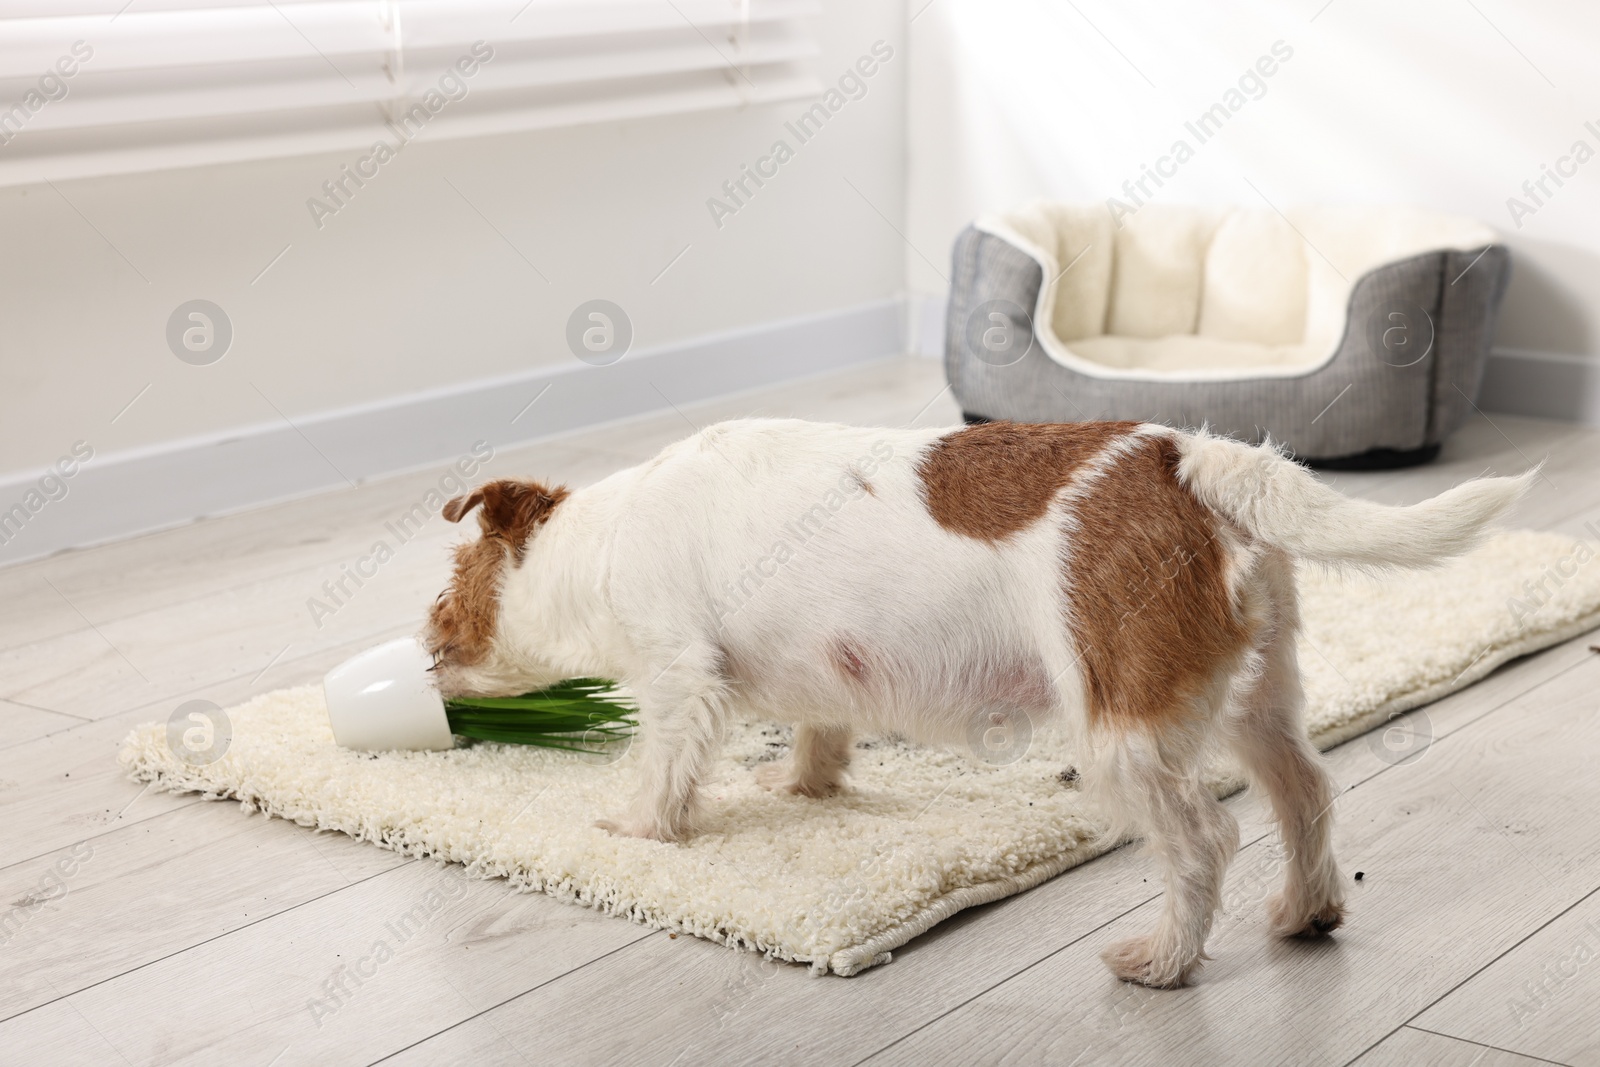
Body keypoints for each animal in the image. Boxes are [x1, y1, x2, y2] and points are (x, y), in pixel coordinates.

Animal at [422, 415, 1523, 985]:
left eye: (444, 592)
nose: (427, 657)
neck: (601, 537)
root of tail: (1191, 460)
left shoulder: (679, 676)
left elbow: (661, 768)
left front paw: (637, 827)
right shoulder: (822, 672)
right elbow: (822, 730)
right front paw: (805, 782)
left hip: (1123, 733)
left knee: (1205, 840)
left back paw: (1163, 959)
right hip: (1259, 700)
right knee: (1305, 793)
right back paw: (1305, 909)